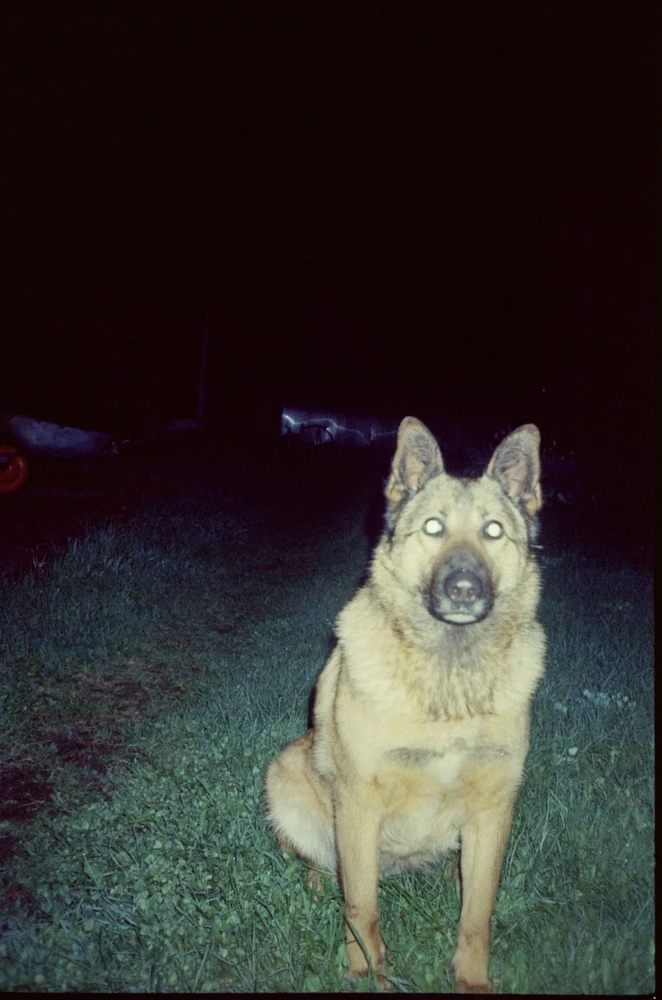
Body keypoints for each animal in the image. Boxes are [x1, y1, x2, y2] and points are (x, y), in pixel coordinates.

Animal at [264, 416, 544, 992]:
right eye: (434, 527)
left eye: (494, 532)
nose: (463, 588)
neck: (446, 679)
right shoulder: (358, 803)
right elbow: (361, 906)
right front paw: (366, 972)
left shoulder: (493, 808)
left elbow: (477, 913)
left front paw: (471, 980)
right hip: (284, 773)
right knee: (324, 865)